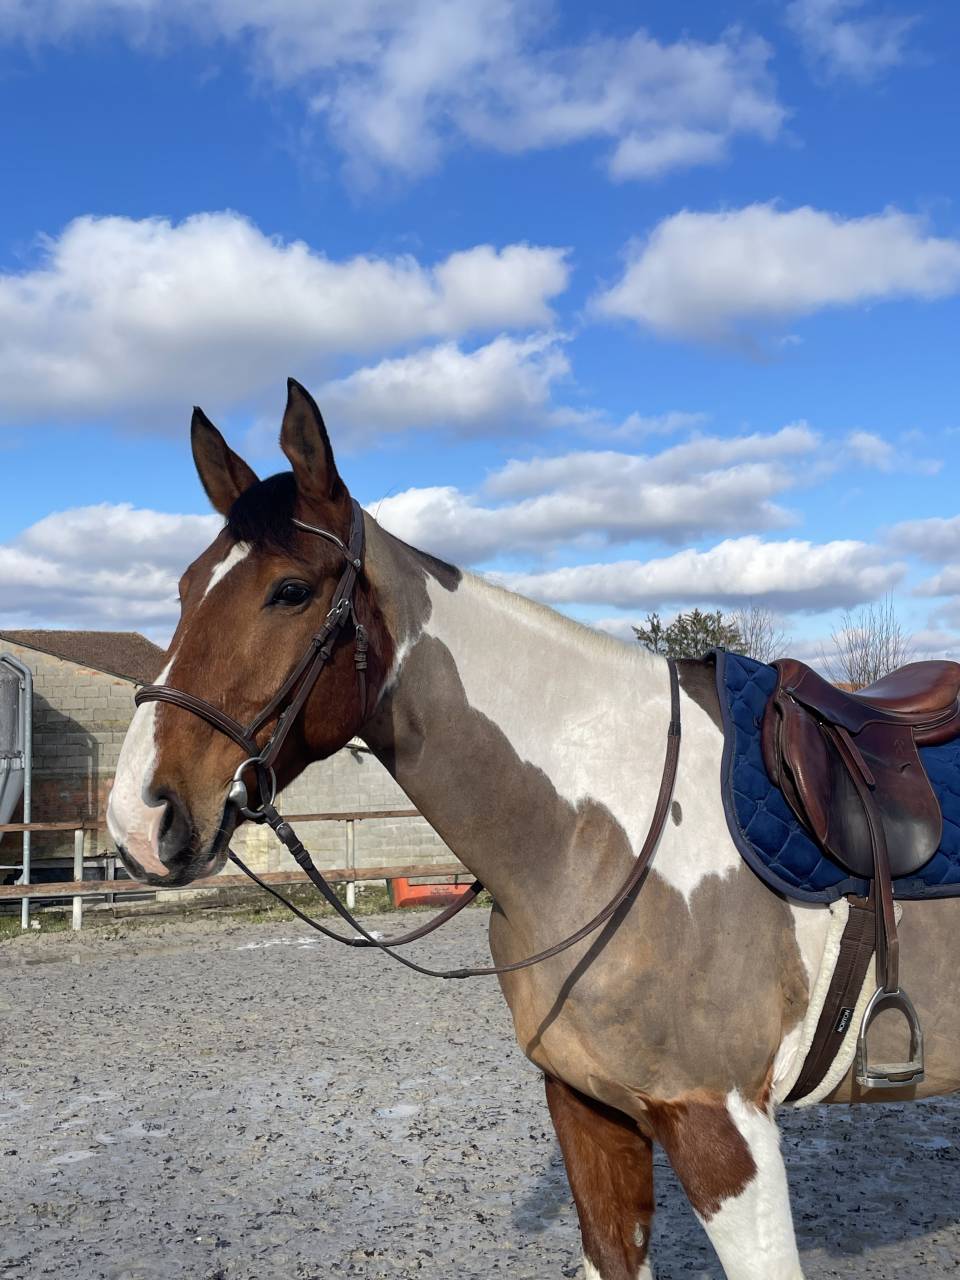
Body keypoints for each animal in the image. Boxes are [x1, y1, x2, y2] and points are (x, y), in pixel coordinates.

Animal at [107, 379, 960, 1280]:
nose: (138, 816)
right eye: (184, 588)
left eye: (291, 591)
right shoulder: (587, 1105)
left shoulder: (723, 1126)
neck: (603, 834)